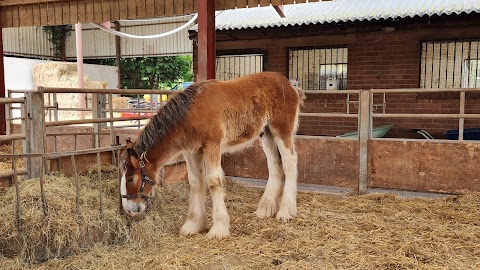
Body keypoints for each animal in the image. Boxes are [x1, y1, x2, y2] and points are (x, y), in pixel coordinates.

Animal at [119, 71, 304, 238]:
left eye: (130, 178)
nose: (129, 209)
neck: (190, 115)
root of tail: (290, 85)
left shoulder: (212, 145)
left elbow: (214, 181)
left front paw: (219, 228)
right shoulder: (192, 151)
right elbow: (195, 181)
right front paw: (194, 224)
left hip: (281, 131)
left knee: (290, 162)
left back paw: (286, 211)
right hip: (266, 134)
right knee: (274, 165)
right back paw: (266, 209)